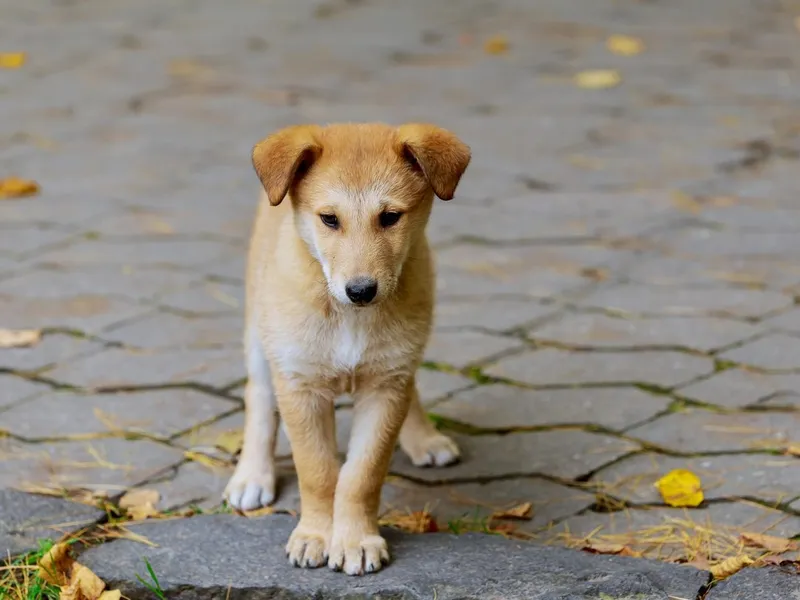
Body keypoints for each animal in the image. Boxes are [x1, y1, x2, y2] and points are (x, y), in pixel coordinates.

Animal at [223, 122, 468, 576]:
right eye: (329, 219)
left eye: (390, 217)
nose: (361, 290)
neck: (348, 317)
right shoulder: (300, 385)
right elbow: (318, 471)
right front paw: (316, 536)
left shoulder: (386, 385)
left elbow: (362, 474)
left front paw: (356, 541)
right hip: (259, 331)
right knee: (259, 396)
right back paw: (252, 476)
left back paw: (424, 438)